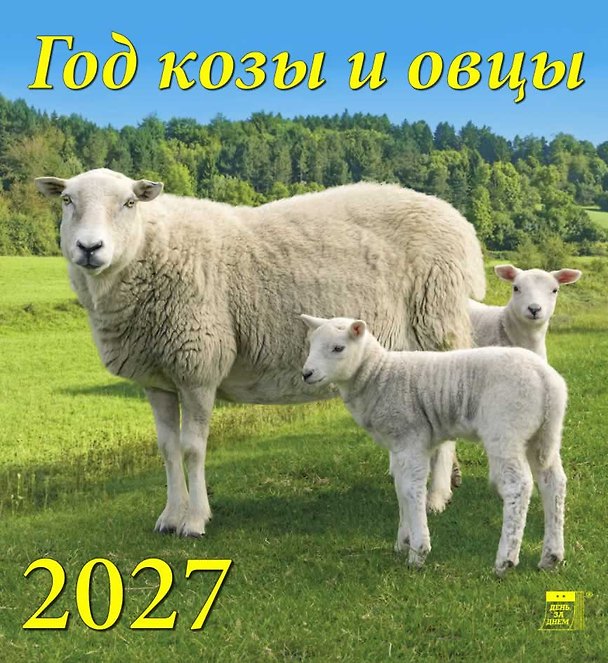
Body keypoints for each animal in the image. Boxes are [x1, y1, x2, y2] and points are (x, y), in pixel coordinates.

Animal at [35, 168, 485, 538]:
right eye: (67, 201)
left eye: (129, 203)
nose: (89, 247)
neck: (153, 248)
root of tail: (458, 221)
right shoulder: (158, 377)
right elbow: (167, 449)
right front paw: (170, 515)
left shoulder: (199, 364)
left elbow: (192, 448)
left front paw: (195, 520)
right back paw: (445, 483)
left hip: (438, 326)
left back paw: (436, 496)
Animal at [300, 314, 568, 576]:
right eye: (311, 344)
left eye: (338, 348)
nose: (306, 374)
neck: (378, 375)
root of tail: (547, 380)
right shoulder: (398, 446)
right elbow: (401, 488)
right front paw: (403, 541)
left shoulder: (411, 438)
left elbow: (412, 489)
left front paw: (418, 551)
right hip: (539, 435)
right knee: (553, 482)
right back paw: (551, 556)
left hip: (506, 428)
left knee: (518, 485)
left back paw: (506, 560)